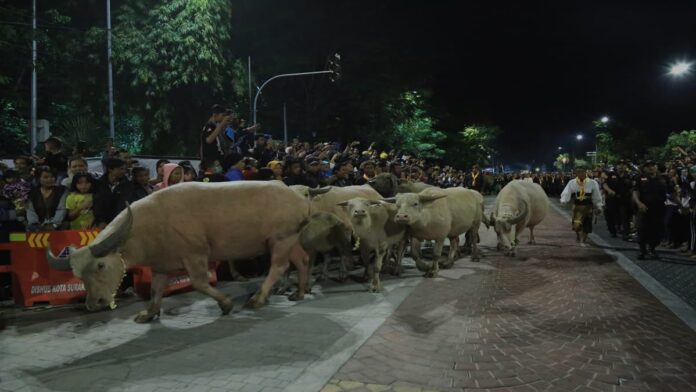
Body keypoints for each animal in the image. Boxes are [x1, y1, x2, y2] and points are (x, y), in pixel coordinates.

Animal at [48, 181, 310, 322]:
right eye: (78, 275)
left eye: (100, 265)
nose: (95, 304)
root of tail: (296, 195)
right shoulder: (160, 266)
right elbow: (155, 290)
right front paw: (149, 314)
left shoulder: (195, 255)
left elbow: (199, 283)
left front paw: (226, 304)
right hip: (289, 240)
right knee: (302, 259)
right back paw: (299, 292)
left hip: (280, 240)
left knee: (279, 266)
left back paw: (258, 298)